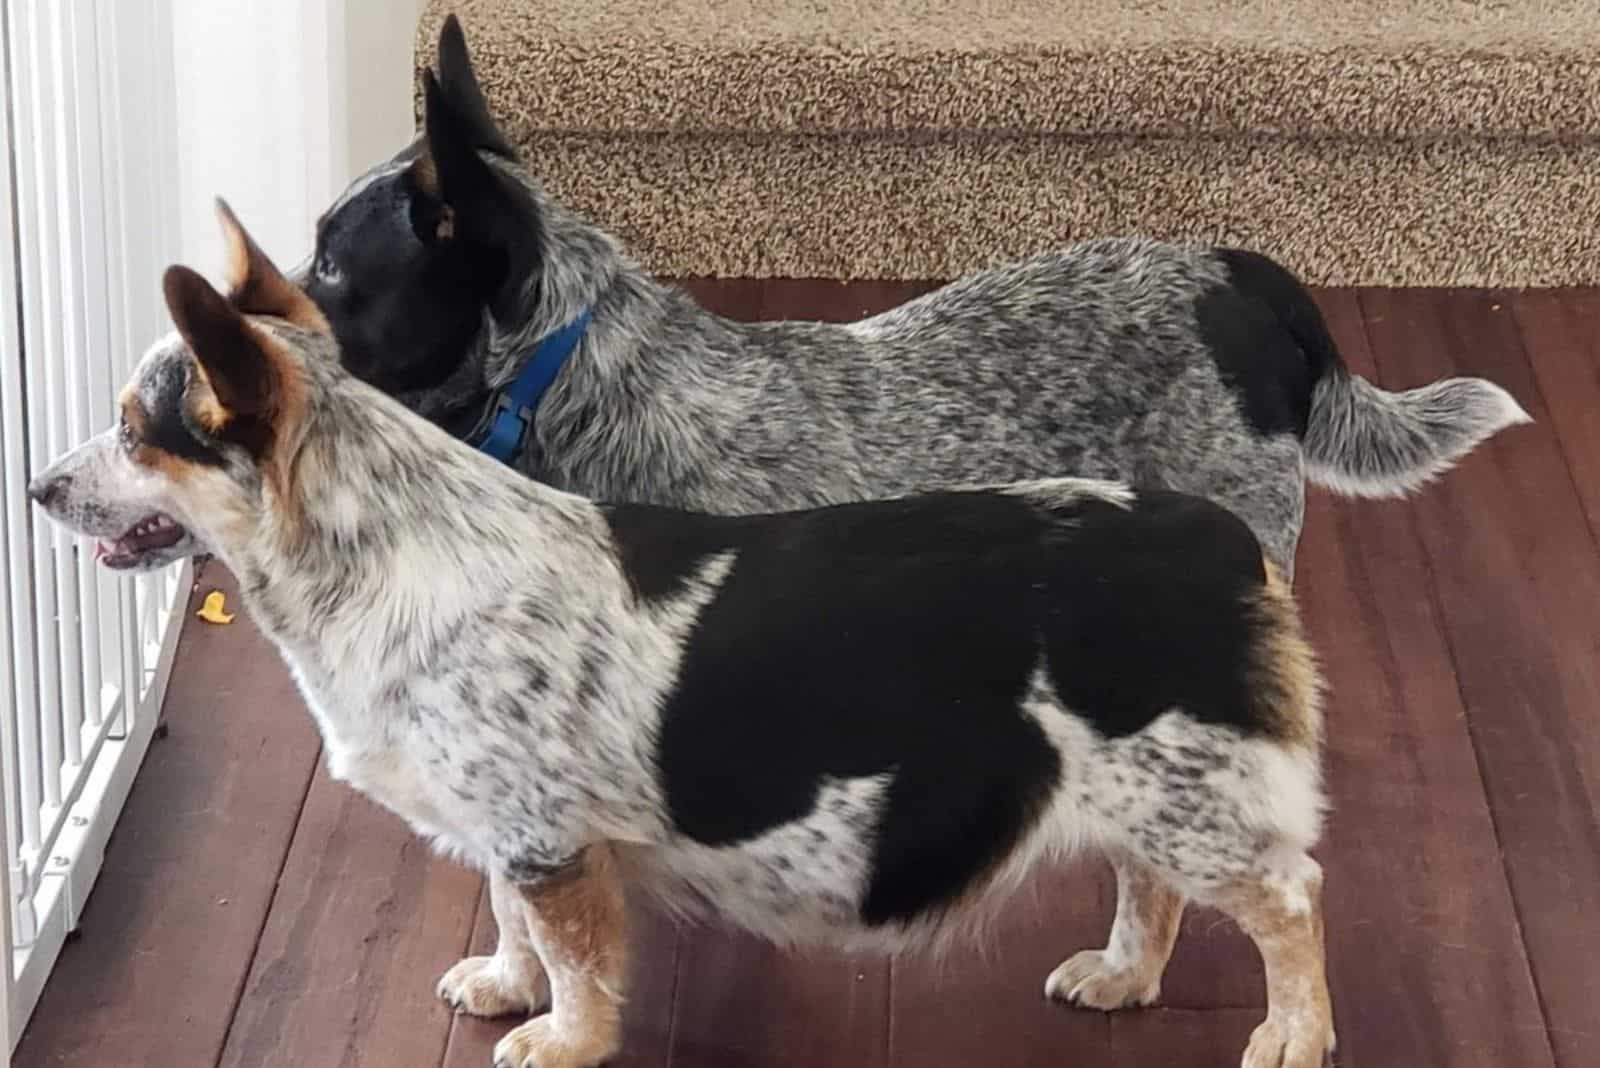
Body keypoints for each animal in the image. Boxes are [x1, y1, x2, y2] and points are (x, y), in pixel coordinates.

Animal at [34, 204, 1337, 1068]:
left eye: (136, 431)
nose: (40, 487)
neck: (381, 553)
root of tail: (1212, 536)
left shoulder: (548, 842)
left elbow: (574, 962)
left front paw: (558, 1038)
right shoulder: (512, 833)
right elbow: (511, 925)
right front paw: (501, 986)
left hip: (1201, 809)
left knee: (1292, 902)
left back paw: (1290, 1035)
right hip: (1148, 796)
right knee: (1148, 887)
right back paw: (1121, 977)